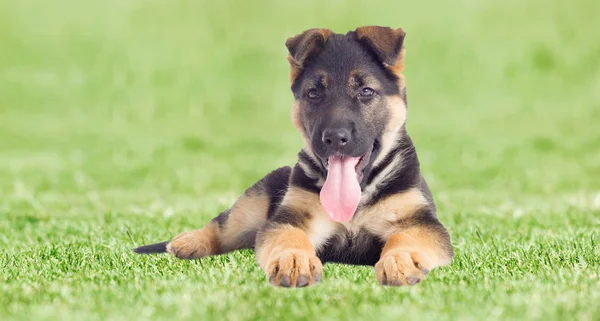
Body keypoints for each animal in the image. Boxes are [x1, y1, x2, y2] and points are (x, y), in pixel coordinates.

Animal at [134, 26, 452, 286]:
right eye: (313, 93)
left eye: (365, 91)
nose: (334, 138)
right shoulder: (291, 217)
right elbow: (289, 237)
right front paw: (294, 260)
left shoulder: (420, 223)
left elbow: (403, 237)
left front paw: (399, 260)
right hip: (252, 205)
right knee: (222, 226)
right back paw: (188, 242)